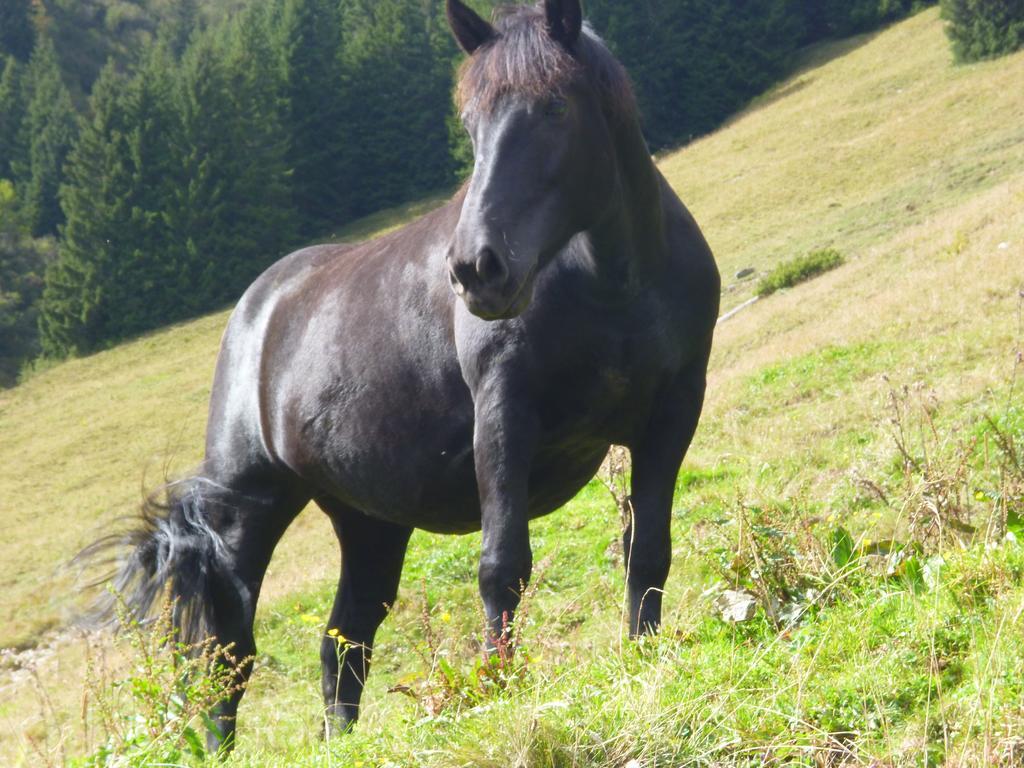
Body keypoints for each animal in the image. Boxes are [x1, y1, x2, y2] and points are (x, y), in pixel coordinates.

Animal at [94, 0, 720, 753]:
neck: (613, 284)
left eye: (555, 107)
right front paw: (499, 691)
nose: (477, 269)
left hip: (369, 521)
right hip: (247, 512)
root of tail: (255, 311)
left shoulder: (673, 413)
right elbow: (503, 567)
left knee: (343, 642)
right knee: (226, 650)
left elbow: (646, 550)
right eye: (470, 123)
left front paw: (643, 656)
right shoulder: (504, 419)